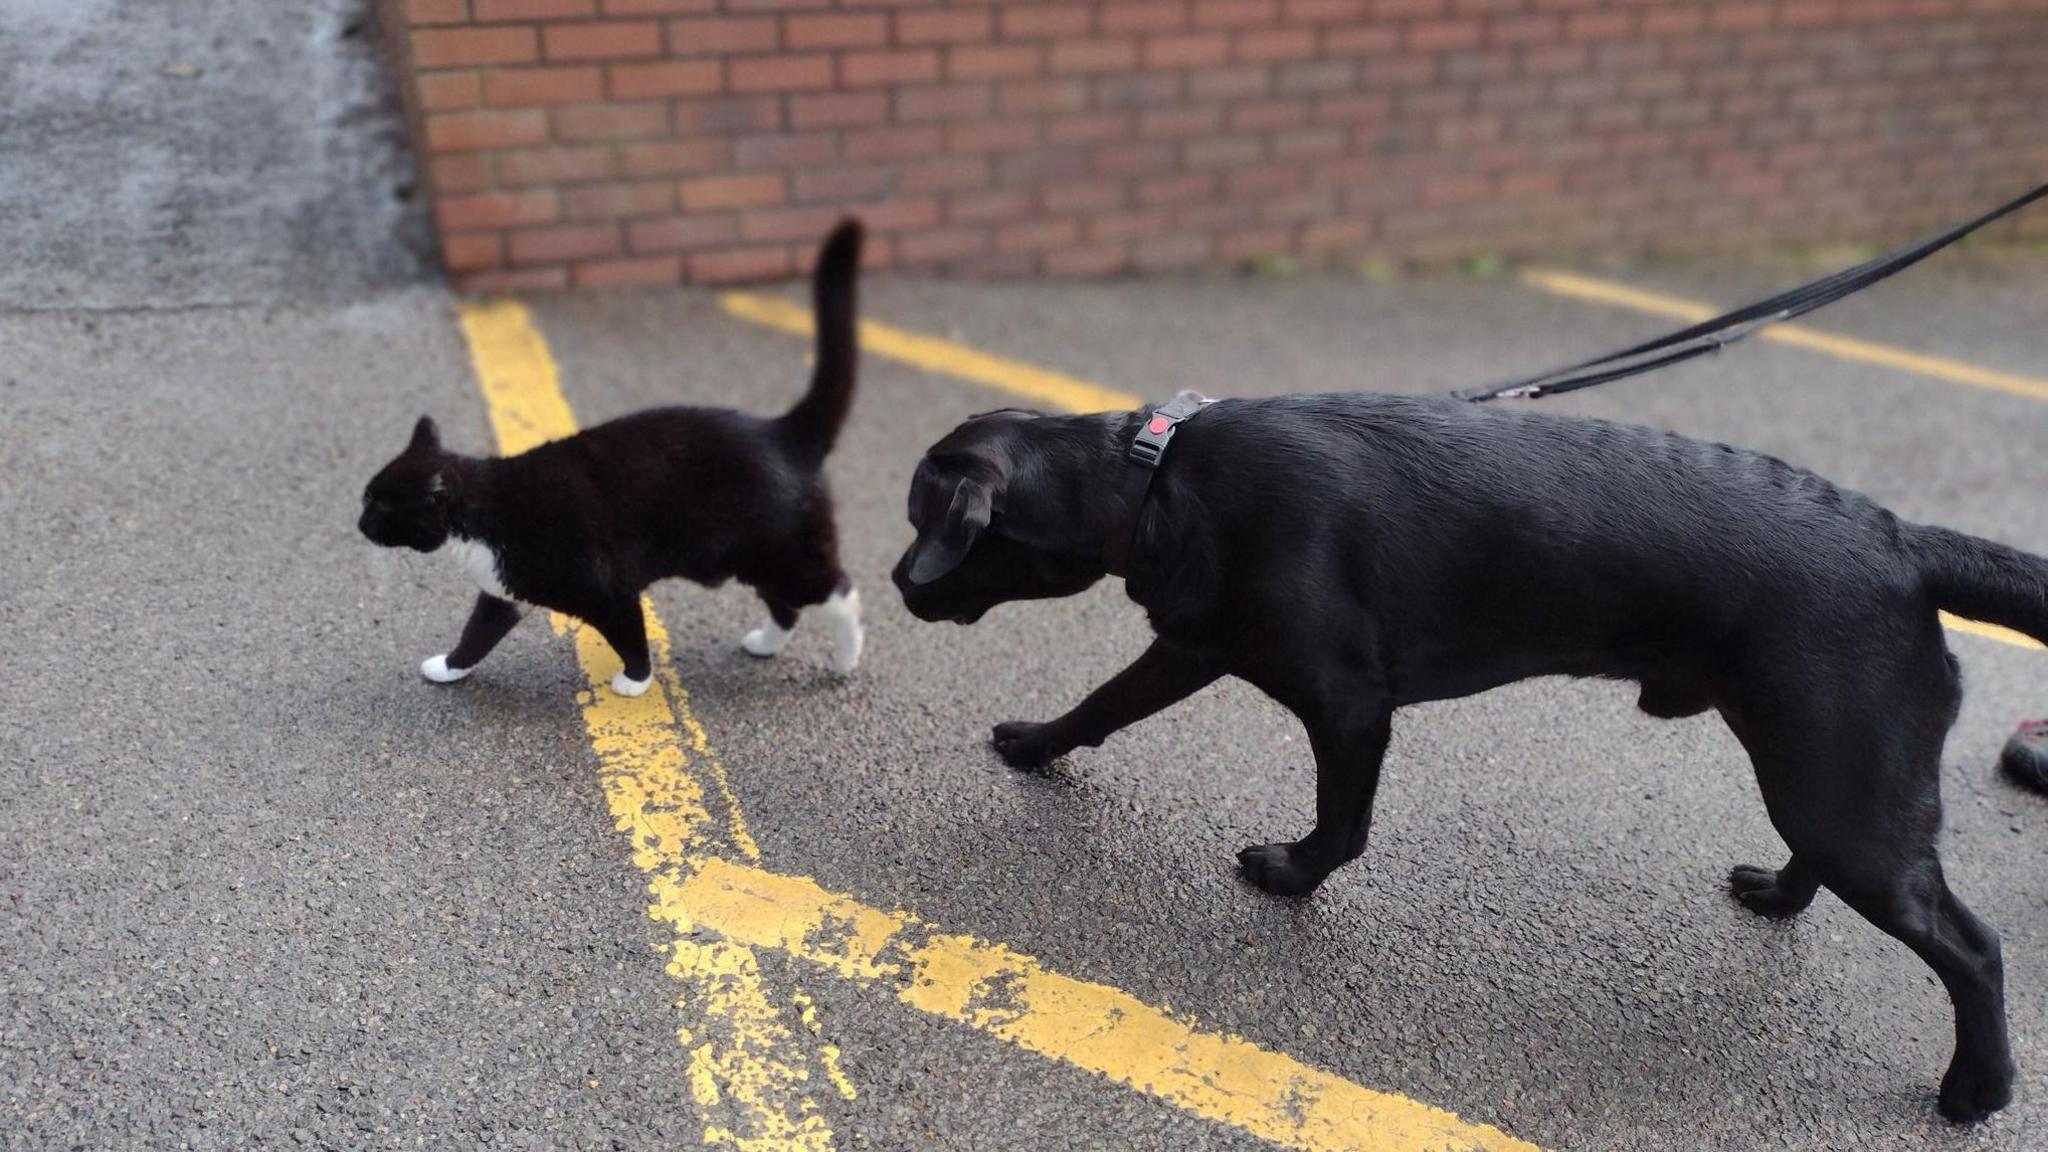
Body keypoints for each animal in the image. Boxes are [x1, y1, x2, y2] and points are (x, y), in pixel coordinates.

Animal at [364, 220, 868, 696]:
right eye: (367, 498)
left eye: (382, 505)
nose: (359, 524)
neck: (484, 513)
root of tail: (781, 430)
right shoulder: (502, 592)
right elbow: (476, 634)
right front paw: (447, 668)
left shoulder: (609, 590)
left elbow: (630, 635)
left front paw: (636, 681)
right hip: (749, 560)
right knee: (786, 606)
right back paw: (765, 644)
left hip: (783, 554)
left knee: (840, 592)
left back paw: (846, 659)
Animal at [892, 389, 2048, 1115]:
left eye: (922, 520)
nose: (897, 582)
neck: (1153, 477)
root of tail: (1904, 543)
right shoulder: (1190, 647)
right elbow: (1102, 703)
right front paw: (1036, 745)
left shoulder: (1348, 705)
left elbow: (1342, 826)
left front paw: (1288, 875)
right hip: (1820, 771)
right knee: (1833, 861)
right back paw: (1778, 895)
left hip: (1835, 780)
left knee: (1972, 948)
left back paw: (1976, 1092)